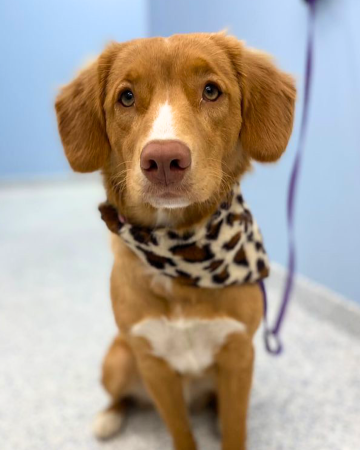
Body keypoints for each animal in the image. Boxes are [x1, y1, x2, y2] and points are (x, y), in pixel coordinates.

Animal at [54, 32, 296, 450]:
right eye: (126, 97)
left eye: (211, 90)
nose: (164, 160)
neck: (184, 251)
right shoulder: (154, 366)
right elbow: (180, 431)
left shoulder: (239, 353)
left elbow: (235, 427)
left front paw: (227, 429)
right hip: (118, 359)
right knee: (121, 396)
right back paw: (108, 418)